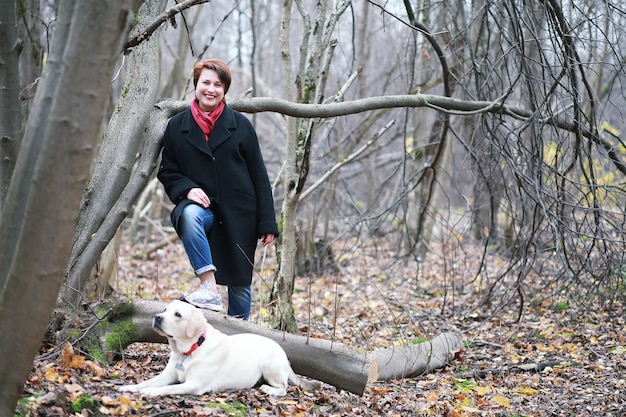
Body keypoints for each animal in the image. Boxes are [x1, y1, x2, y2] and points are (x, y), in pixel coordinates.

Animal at [118, 300, 322, 394]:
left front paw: (151, 392)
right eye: (165, 310)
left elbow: (169, 389)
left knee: (284, 387)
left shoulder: (194, 384)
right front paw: (130, 387)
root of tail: (284, 354)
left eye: (177, 314)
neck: (189, 350)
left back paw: (270, 389)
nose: (157, 317)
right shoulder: (167, 375)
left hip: (270, 367)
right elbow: (148, 381)